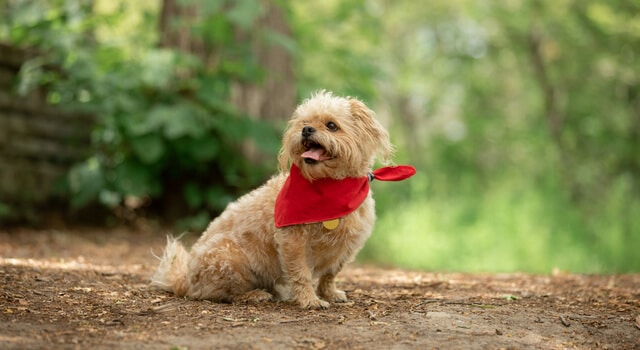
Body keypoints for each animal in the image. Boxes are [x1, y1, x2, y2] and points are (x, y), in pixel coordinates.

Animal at [151, 91, 410, 308]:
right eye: (304, 122)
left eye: (331, 125)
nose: (306, 130)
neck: (329, 185)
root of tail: (185, 279)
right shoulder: (292, 241)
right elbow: (301, 274)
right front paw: (310, 300)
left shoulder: (346, 246)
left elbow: (330, 274)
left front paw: (329, 294)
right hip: (227, 257)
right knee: (215, 293)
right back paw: (254, 295)